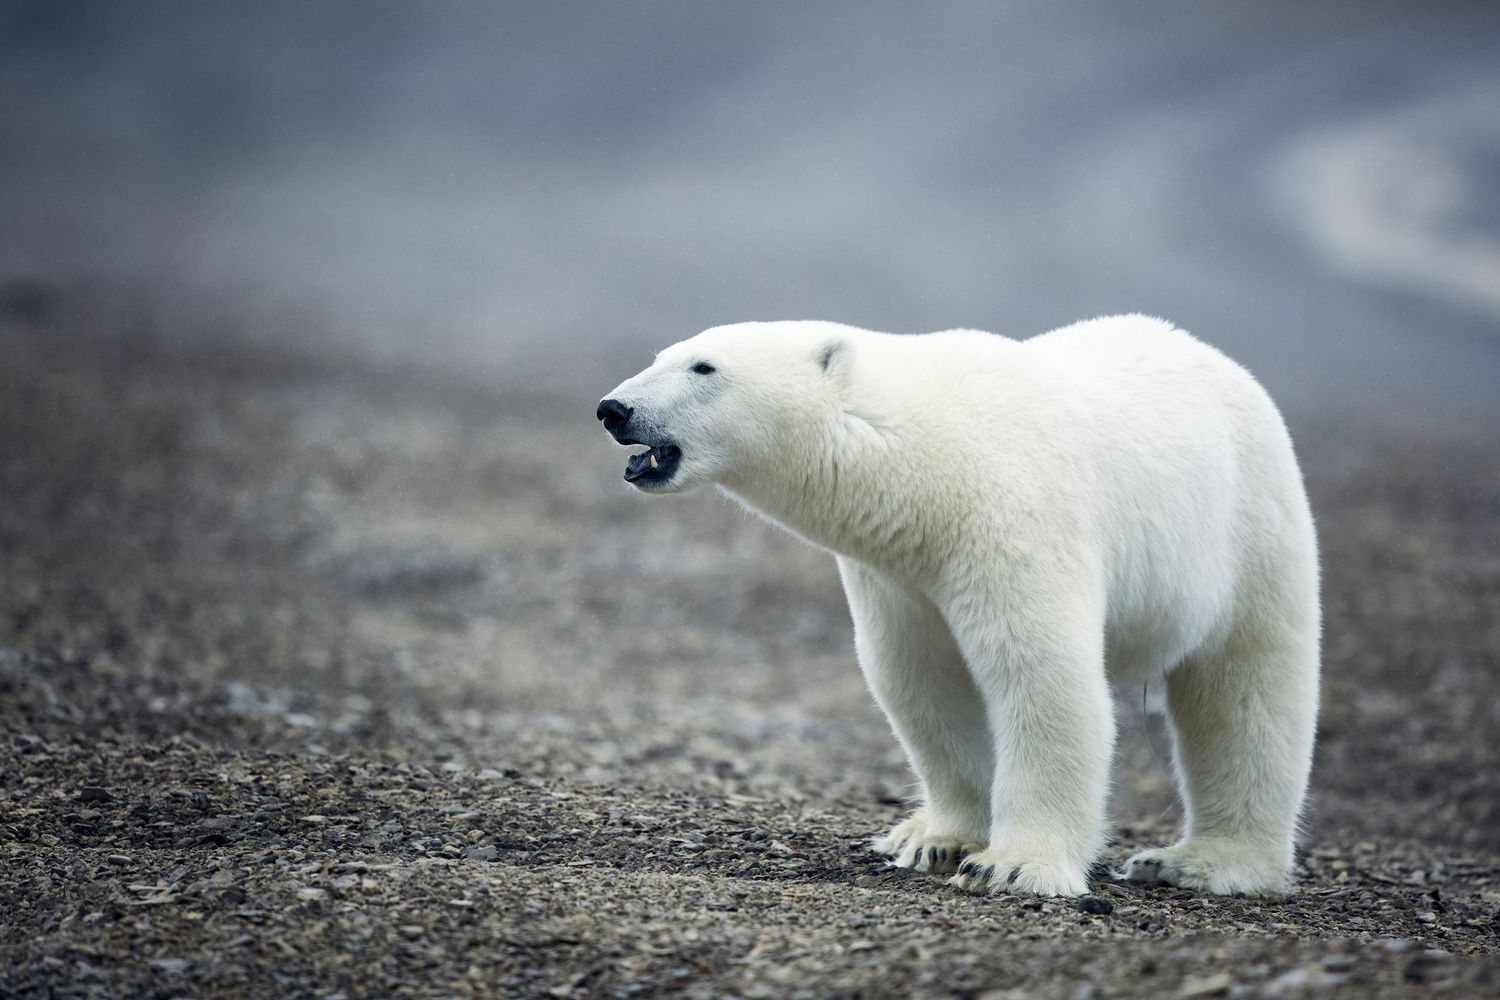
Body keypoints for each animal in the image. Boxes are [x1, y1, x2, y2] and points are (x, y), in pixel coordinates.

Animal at [596, 315, 1320, 897]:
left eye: (704, 366)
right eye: (663, 354)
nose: (613, 408)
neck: (927, 460)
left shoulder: (1012, 516)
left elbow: (1040, 675)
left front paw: (1015, 866)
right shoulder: (898, 573)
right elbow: (920, 678)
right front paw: (935, 841)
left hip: (1250, 529)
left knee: (1246, 693)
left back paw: (1202, 861)